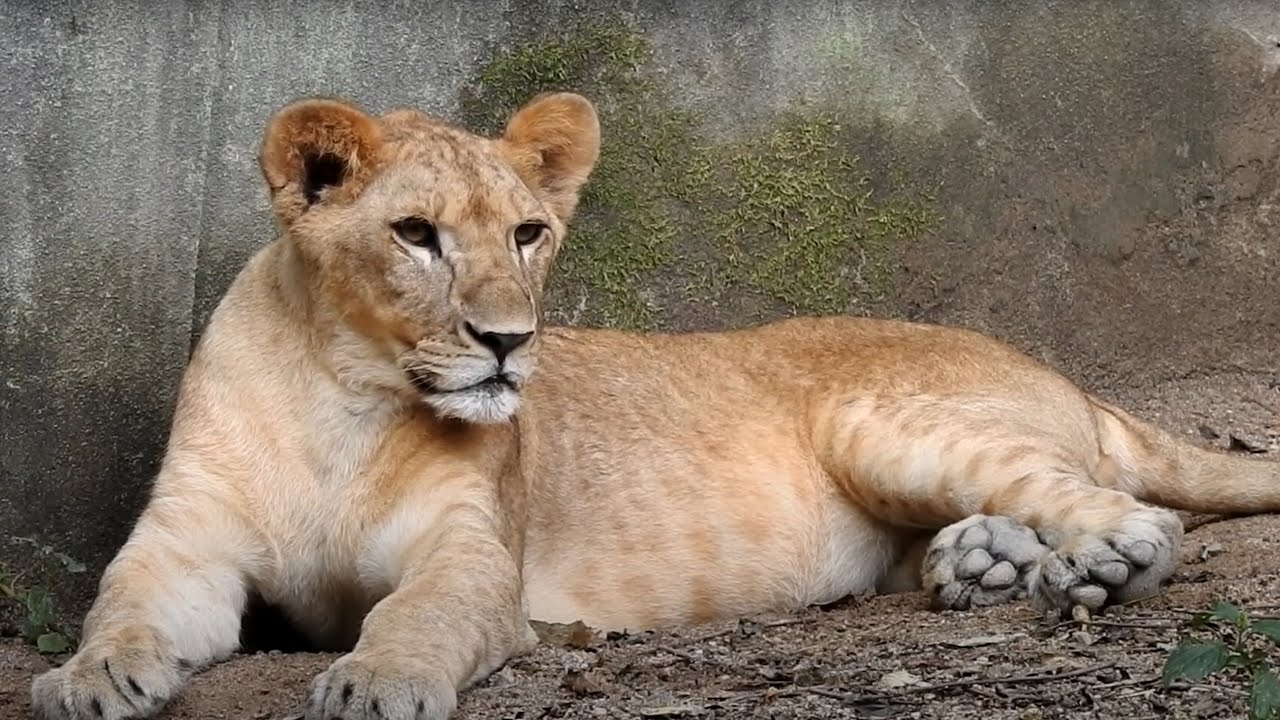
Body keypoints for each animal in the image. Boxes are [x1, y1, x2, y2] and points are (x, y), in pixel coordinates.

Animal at [31, 91, 1279, 720]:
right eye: (415, 235)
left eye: (527, 233)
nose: (507, 342)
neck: (343, 396)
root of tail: (1064, 375)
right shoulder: (183, 547)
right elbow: (119, 606)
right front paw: (87, 680)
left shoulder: (472, 557)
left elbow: (416, 618)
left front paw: (376, 684)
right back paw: (985, 566)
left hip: (885, 421)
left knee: (1129, 511)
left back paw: (1088, 566)